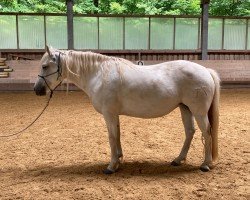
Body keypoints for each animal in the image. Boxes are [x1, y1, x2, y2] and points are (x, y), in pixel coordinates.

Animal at [34, 46, 220, 174]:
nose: (37, 90)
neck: (99, 74)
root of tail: (205, 70)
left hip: (198, 111)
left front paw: (110, 167)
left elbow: (111, 137)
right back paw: (178, 160)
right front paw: (119, 161)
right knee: (190, 132)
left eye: (45, 66)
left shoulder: (109, 114)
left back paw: (205, 164)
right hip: (185, 108)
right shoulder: (114, 115)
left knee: (207, 132)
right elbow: (117, 135)